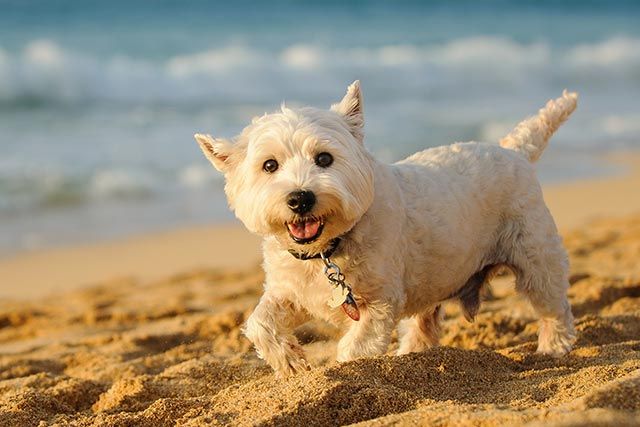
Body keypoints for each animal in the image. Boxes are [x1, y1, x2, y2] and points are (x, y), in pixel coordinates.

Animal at [192, 82, 576, 376]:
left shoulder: (379, 301)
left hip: (534, 255)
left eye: (324, 159)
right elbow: (260, 323)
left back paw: (553, 347)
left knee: (552, 305)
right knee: (424, 324)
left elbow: (356, 347)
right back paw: (411, 354)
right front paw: (291, 363)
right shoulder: (292, 291)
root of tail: (515, 151)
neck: (327, 250)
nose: (301, 198)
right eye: (269, 165)